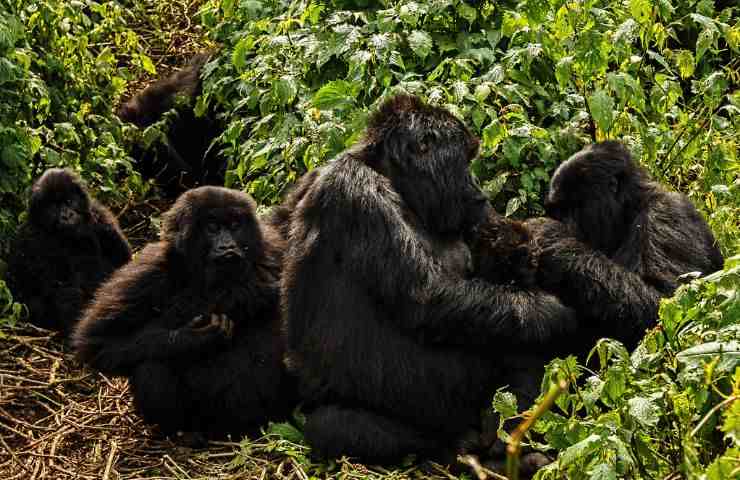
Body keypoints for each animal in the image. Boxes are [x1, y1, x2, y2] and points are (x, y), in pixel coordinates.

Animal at [6, 169, 132, 334]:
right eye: (53, 208)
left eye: (69, 202)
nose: (66, 215)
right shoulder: (35, 239)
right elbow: (63, 287)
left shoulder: (101, 216)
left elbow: (122, 258)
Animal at [73, 186, 294, 440]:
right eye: (212, 227)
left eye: (235, 225)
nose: (227, 246)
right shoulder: (150, 268)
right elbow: (97, 341)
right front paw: (195, 336)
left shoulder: (275, 249)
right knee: (151, 362)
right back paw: (181, 434)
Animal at [280, 94, 576, 464]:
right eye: (464, 159)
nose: (478, 189)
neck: (389, 175)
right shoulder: (357, 192)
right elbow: (428, 298)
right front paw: (553, 314)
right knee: (335, 425)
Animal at [528, 141, 724, 354]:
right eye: (559, 210)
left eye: (575, 207)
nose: (565, 224)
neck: (629, 210)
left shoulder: (667, 214)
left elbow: (668, 305)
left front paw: (552, 238)